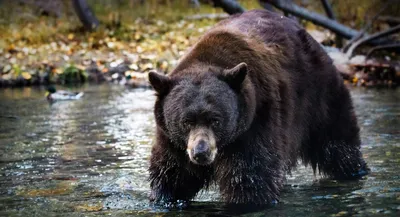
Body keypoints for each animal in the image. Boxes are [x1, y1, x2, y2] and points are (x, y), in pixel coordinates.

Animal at [148, 9, 368, 206]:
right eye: (186, 121)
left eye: (215, 120)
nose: (200, 152)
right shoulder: (172, 141)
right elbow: (172, 174)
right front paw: (164, 198)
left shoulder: (256, 122)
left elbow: (251, 176)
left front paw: (248, 200)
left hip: (319, 96)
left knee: (337, 141)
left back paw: (355, 170)